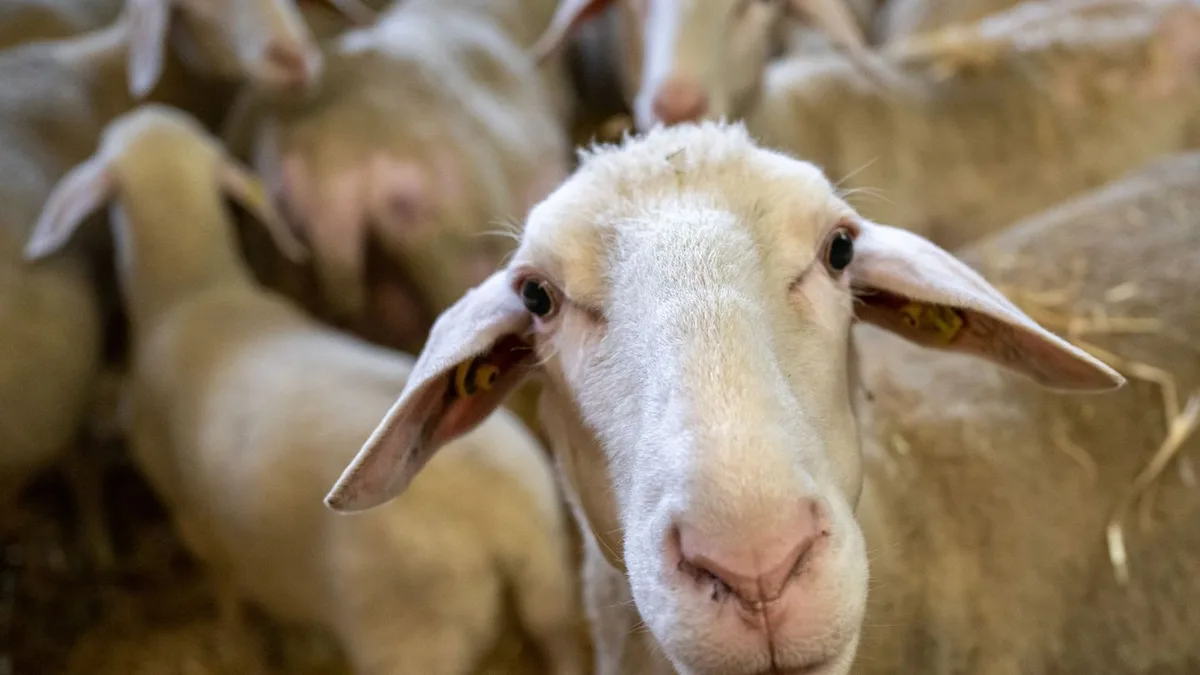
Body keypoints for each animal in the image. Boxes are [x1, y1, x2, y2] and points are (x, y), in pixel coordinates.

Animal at [25, 103, 586, 675]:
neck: (193, 292)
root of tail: (505, 519)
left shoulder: (195, 523)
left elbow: (229, 592)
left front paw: (236, 641)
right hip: (551, 586)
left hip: (410, 638)